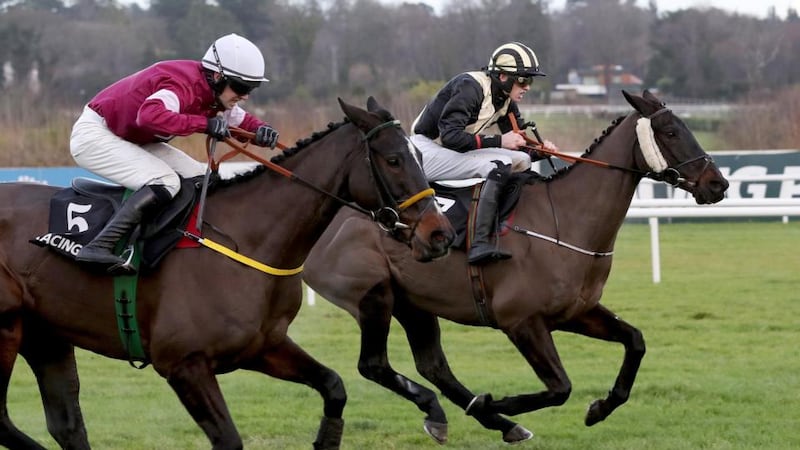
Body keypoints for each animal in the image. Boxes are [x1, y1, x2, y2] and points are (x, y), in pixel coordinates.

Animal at [0, 97, 454, 450]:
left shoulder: (264, 346)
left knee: (66, 426)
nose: (441, 235)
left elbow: (333, 386)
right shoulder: (184, 365)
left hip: (46, 336)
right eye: (393, 160)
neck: (247, 239)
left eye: (419, 156)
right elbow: (230, 439)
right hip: (7, 329)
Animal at [306, 89, 732, 444]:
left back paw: (486, 420)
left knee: (433, 366)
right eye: (671, 131)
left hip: (414, 303)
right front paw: (494, 402)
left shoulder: (576, 312)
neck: (564, 219)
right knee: (374, 364)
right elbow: (560, 387)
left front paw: (599, 408)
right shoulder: (521, 320)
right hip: (374, 296)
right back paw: (480, 413)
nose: (719, 184)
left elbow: (636, 341)